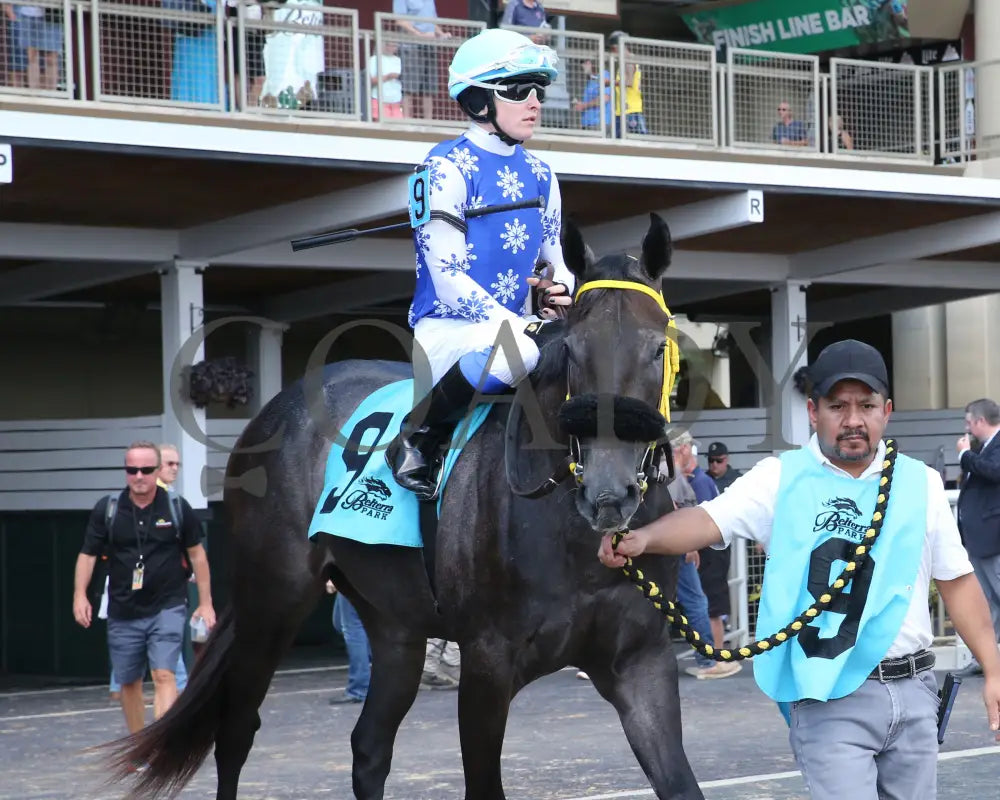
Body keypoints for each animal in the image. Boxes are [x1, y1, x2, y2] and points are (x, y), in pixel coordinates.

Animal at [109, 214, 704, 800]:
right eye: (576, 350)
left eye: (658, 348)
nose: (607, 493)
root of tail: (275, 408)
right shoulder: (487, 665)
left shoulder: (642, 662)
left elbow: (679, 782)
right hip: (272, 603)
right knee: (236, 731)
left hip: (394, 626)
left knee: (369, 747)